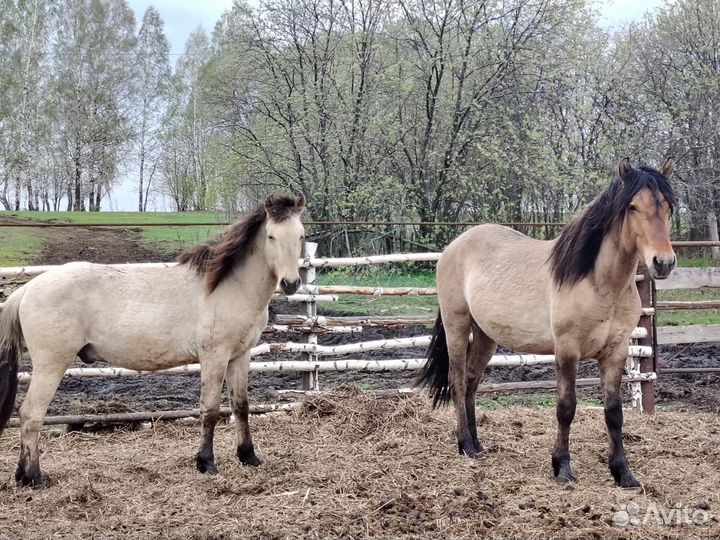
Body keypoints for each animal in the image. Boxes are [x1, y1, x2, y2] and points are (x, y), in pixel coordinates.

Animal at [0, 194, 306, 488]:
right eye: (271, 236)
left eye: (301, 236)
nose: (291, 284)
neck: (227, 287)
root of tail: (28, 289)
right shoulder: (214, 357)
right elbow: (210, 409)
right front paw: (206, 463)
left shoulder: (240, 356)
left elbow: (241, 406)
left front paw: (249, 457)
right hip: (51, 365)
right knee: (31, 414)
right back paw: (33, 478)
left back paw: (22, 476)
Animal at [418, 158, 676, 488]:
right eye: (632, 206)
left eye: (667, 206)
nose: (663, 263)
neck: (599, 284)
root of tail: (454, 247)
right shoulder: (567, 350)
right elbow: (566, 408)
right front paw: (562, 468)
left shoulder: (616, 352)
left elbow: (614, 412)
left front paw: (623, 473)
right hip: (457, 325)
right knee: (458, 379)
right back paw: (465, 445)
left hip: (486, 335)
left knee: (472, 381)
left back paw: (477, 444)